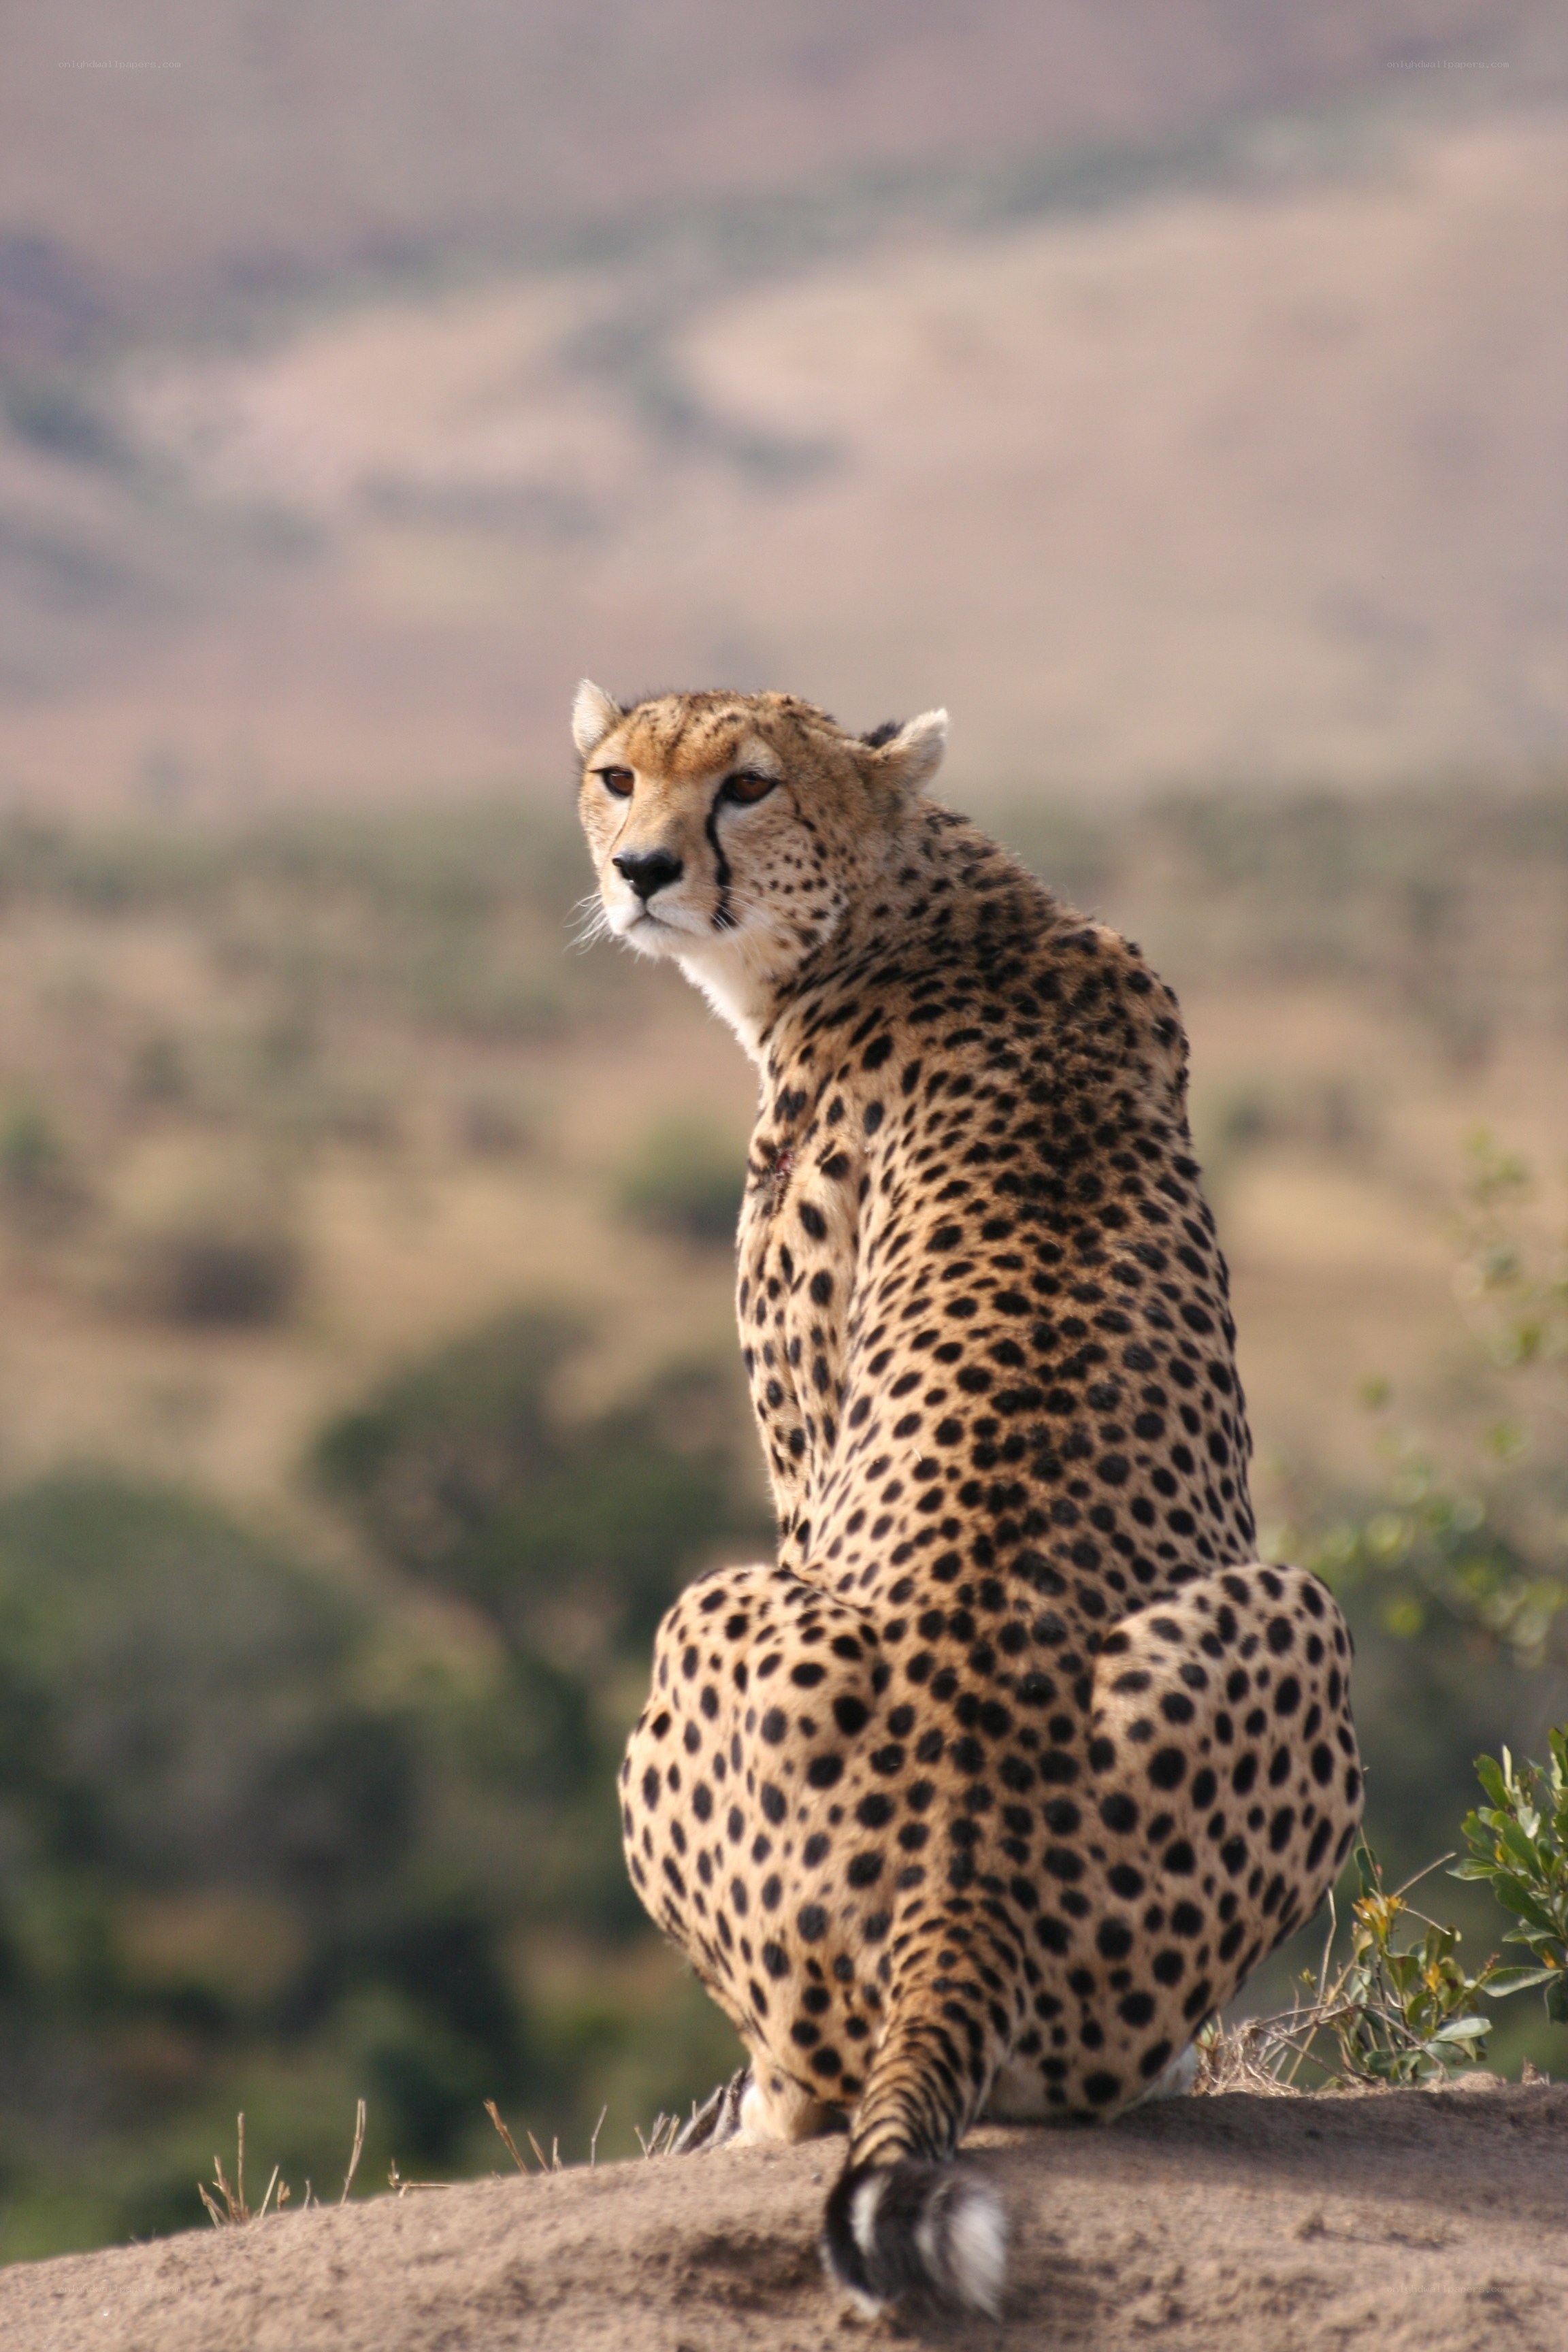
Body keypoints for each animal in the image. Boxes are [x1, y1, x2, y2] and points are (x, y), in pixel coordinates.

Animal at [573, 680, 1363, 2319]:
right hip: (1281, 1610)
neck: (911, 901)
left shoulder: (800, 1459)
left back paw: (748, 2115)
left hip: (713, 1603)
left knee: (817, 2082)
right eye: (615, 777)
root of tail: (961, 1869)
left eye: (745, 787)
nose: (642, 871)